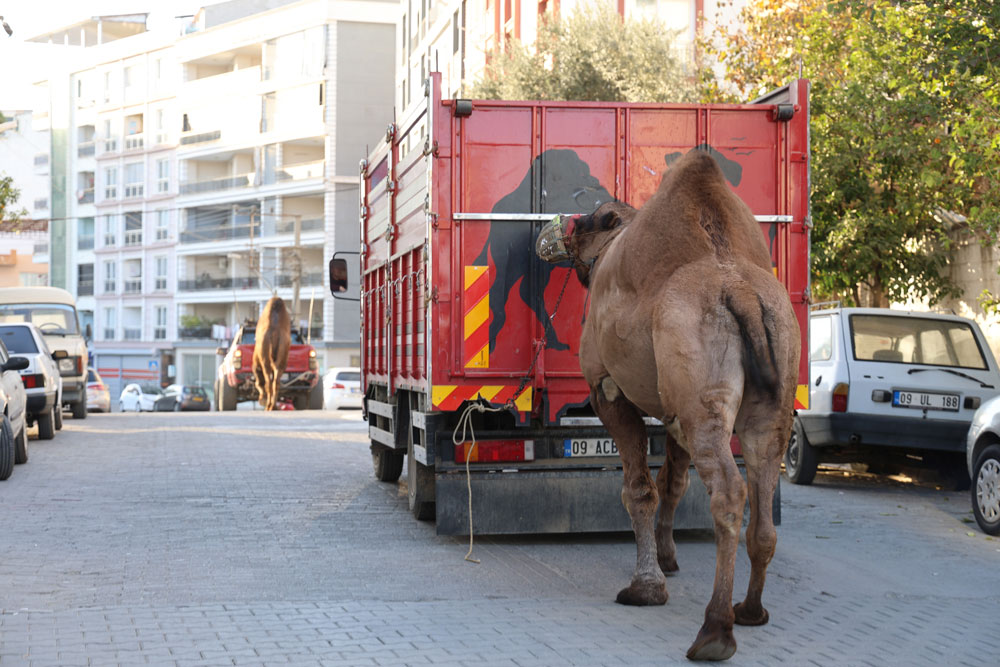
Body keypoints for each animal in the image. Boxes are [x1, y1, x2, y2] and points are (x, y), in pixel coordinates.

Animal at [536, 150, 800, 664]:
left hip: (704, 396)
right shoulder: (672, 409)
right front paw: (666, 558)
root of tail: (741, 293)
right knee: (763, 494)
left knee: (729, 492)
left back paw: (715, 631)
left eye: (586, 218)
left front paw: (646, 587)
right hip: (773, 394)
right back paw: (750, 609)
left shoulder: (607, 387)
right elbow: (672, 484)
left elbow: (639, 489)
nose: (554, 230)